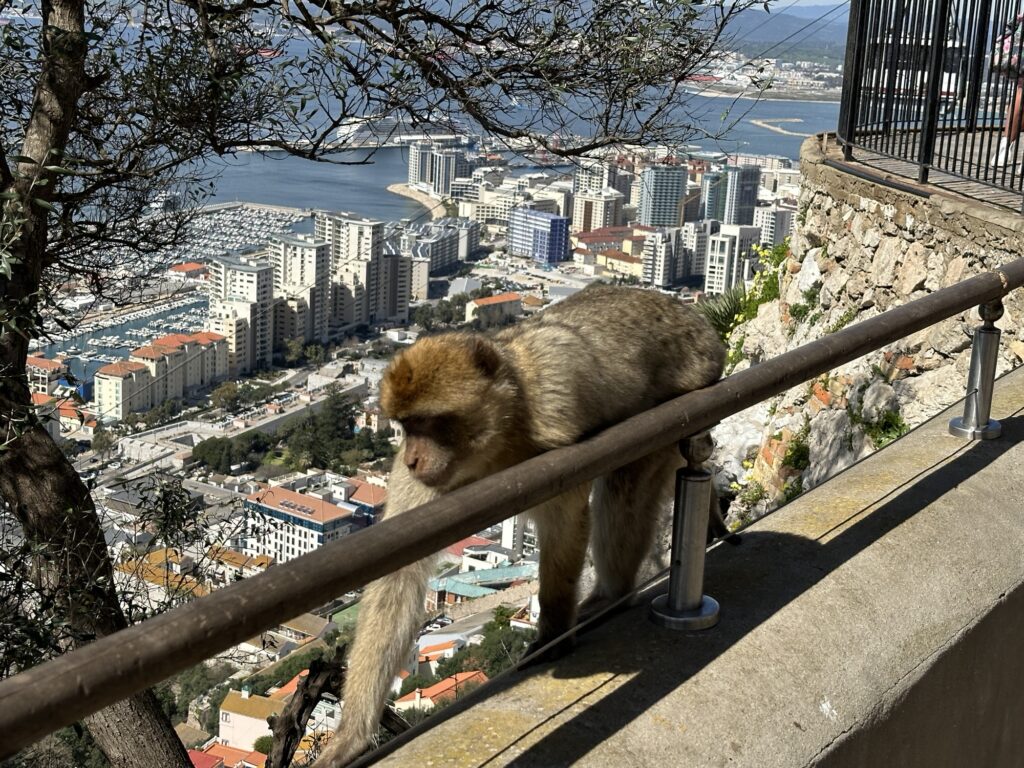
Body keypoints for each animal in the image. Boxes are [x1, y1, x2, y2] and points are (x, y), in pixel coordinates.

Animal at [321, 284, 725, 766]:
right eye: (403, 426)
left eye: (427, 423)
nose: (414, 457)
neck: (498, 439)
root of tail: (699, 326)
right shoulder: (416, 480)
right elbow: (397, 576)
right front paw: (352, 735)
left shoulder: (556, 409)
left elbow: (564, 518)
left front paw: (553, 631)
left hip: (683, 393)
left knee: (626, 484)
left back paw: (612, 593)